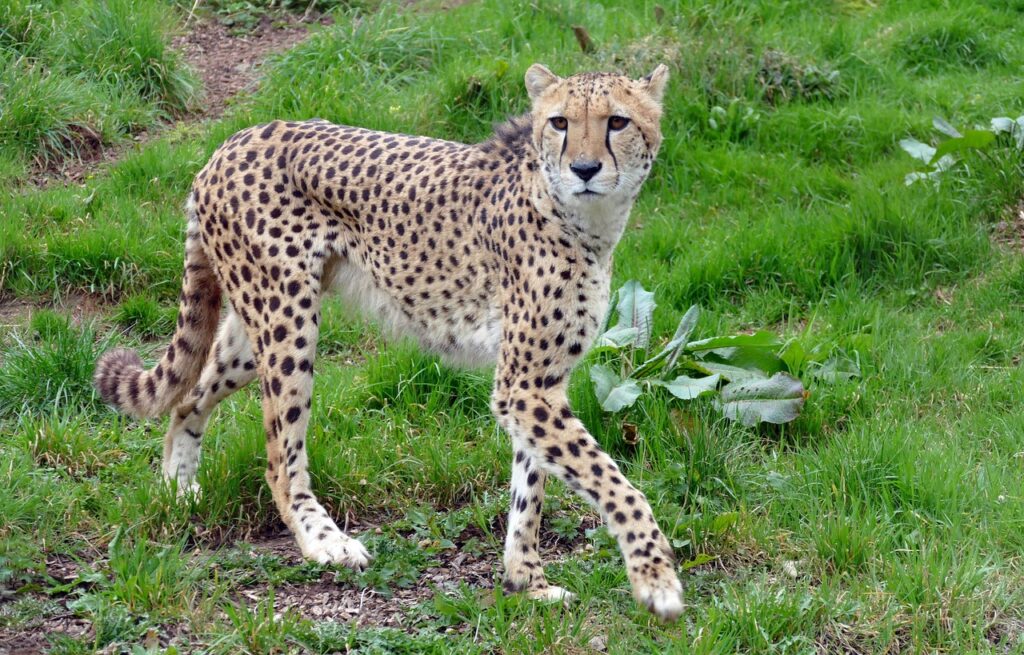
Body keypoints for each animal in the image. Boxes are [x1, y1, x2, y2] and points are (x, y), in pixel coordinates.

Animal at [93, 63, 684, 620]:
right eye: (560, 122)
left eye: (617, 122)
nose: (584, 169)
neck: (587, 222)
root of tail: (233, 141)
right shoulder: (524, 386)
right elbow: (614, 483)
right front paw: (655, 579)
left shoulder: (537, 383)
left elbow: (530, 488)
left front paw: (526, 582)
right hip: (288, 320)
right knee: (280, 459)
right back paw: (325, 543)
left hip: (253, 324)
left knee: (188, 397)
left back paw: (177, 487)